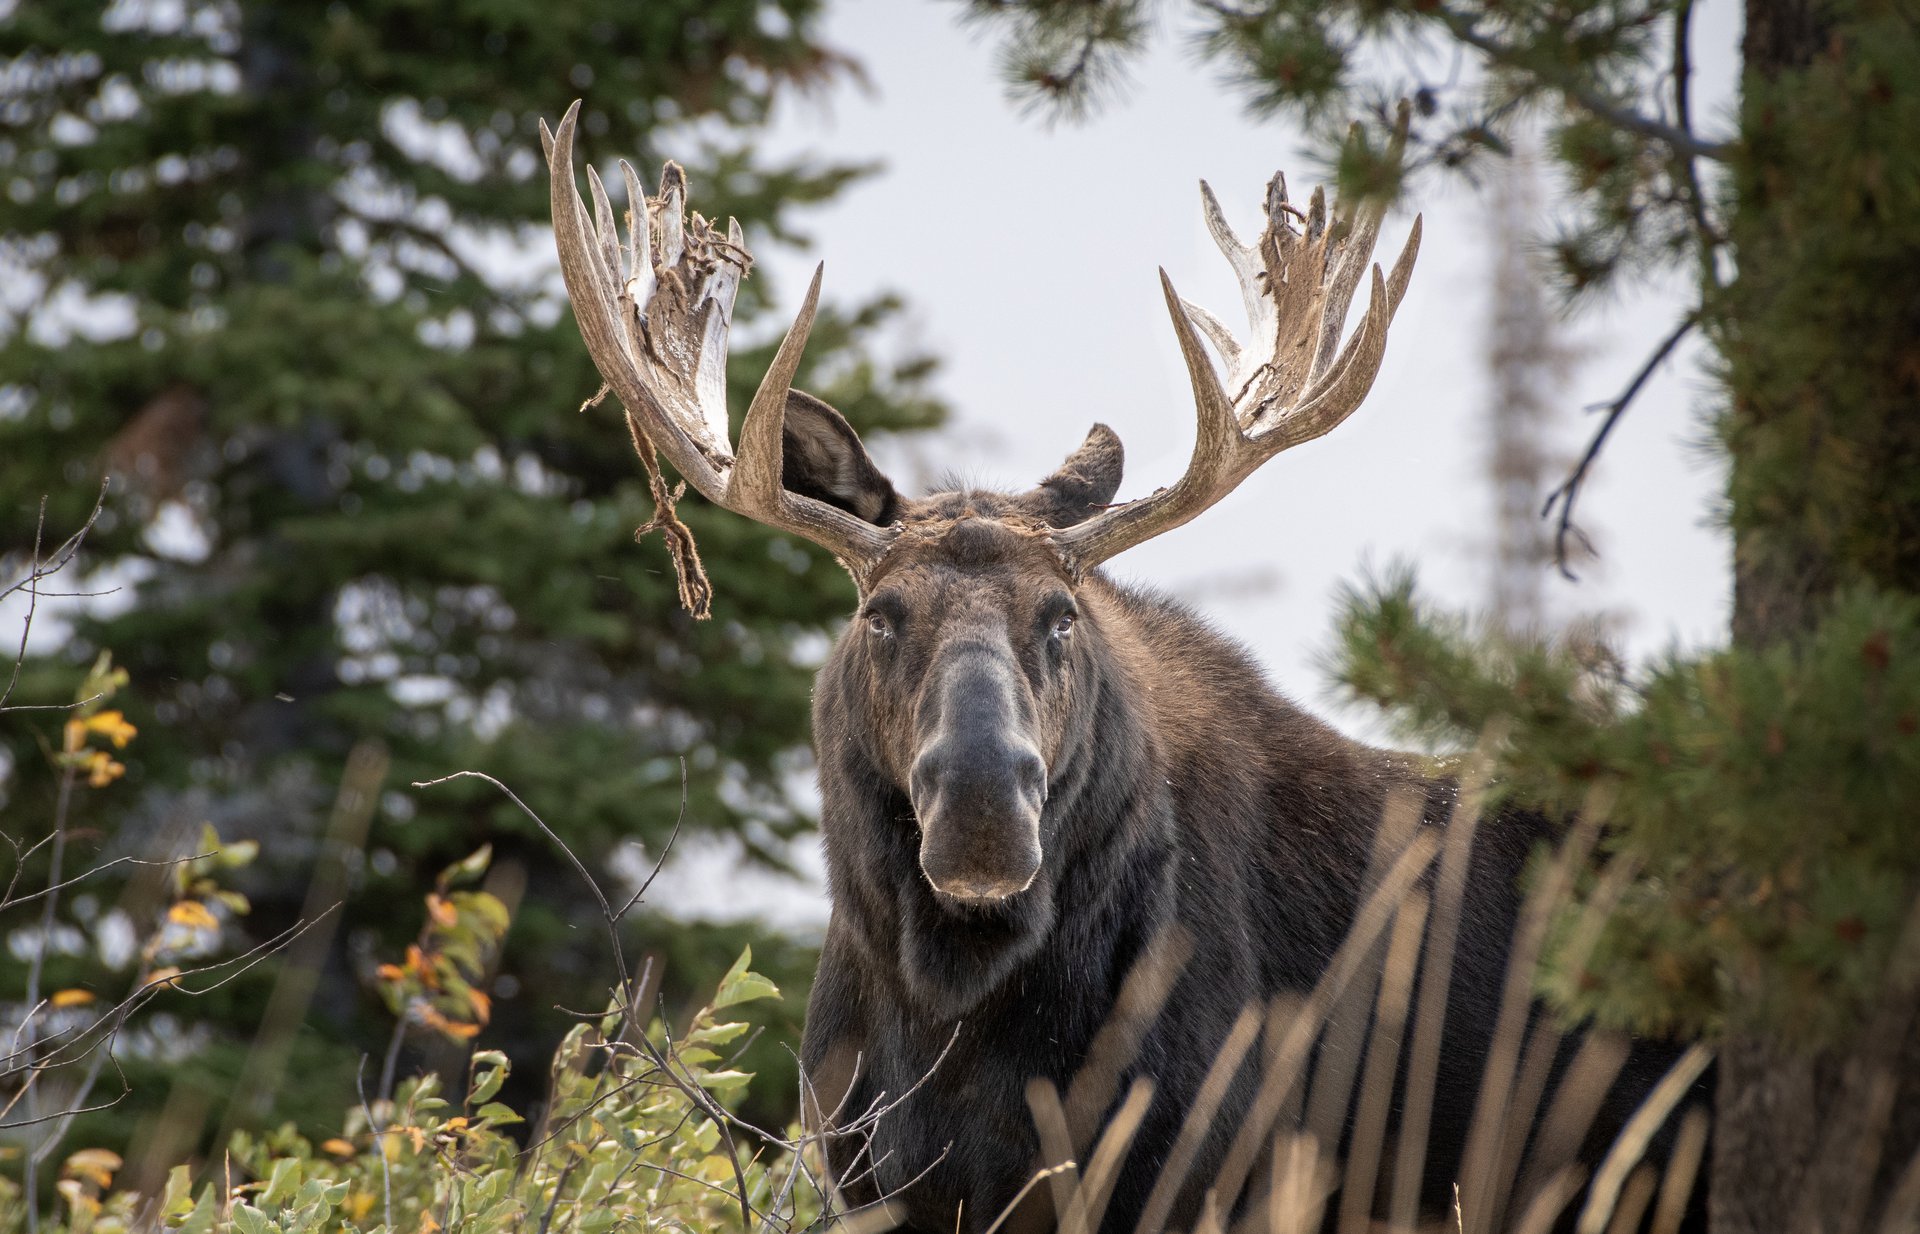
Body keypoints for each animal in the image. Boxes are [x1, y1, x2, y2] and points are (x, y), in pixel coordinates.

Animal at [541, 102, 1693, 1234]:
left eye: (1062, 617)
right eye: (879, 614)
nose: (982, 809)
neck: (952, 1011)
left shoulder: (1193, 1174)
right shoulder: (870, 1178)